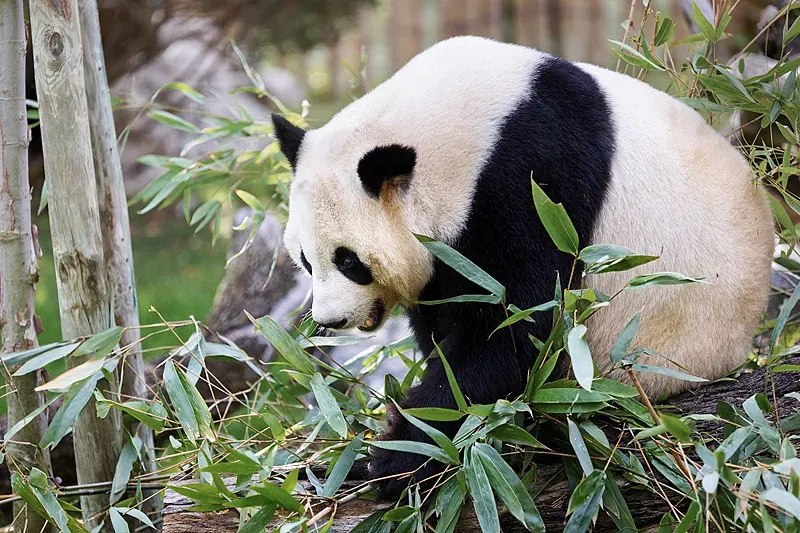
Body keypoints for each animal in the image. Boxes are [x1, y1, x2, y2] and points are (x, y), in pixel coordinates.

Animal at [271, 36, 774, 497]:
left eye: (349, 260)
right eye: (306, 260)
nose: (331, 319)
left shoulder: (532, 176)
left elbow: (512, 331)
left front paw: (396, 455)